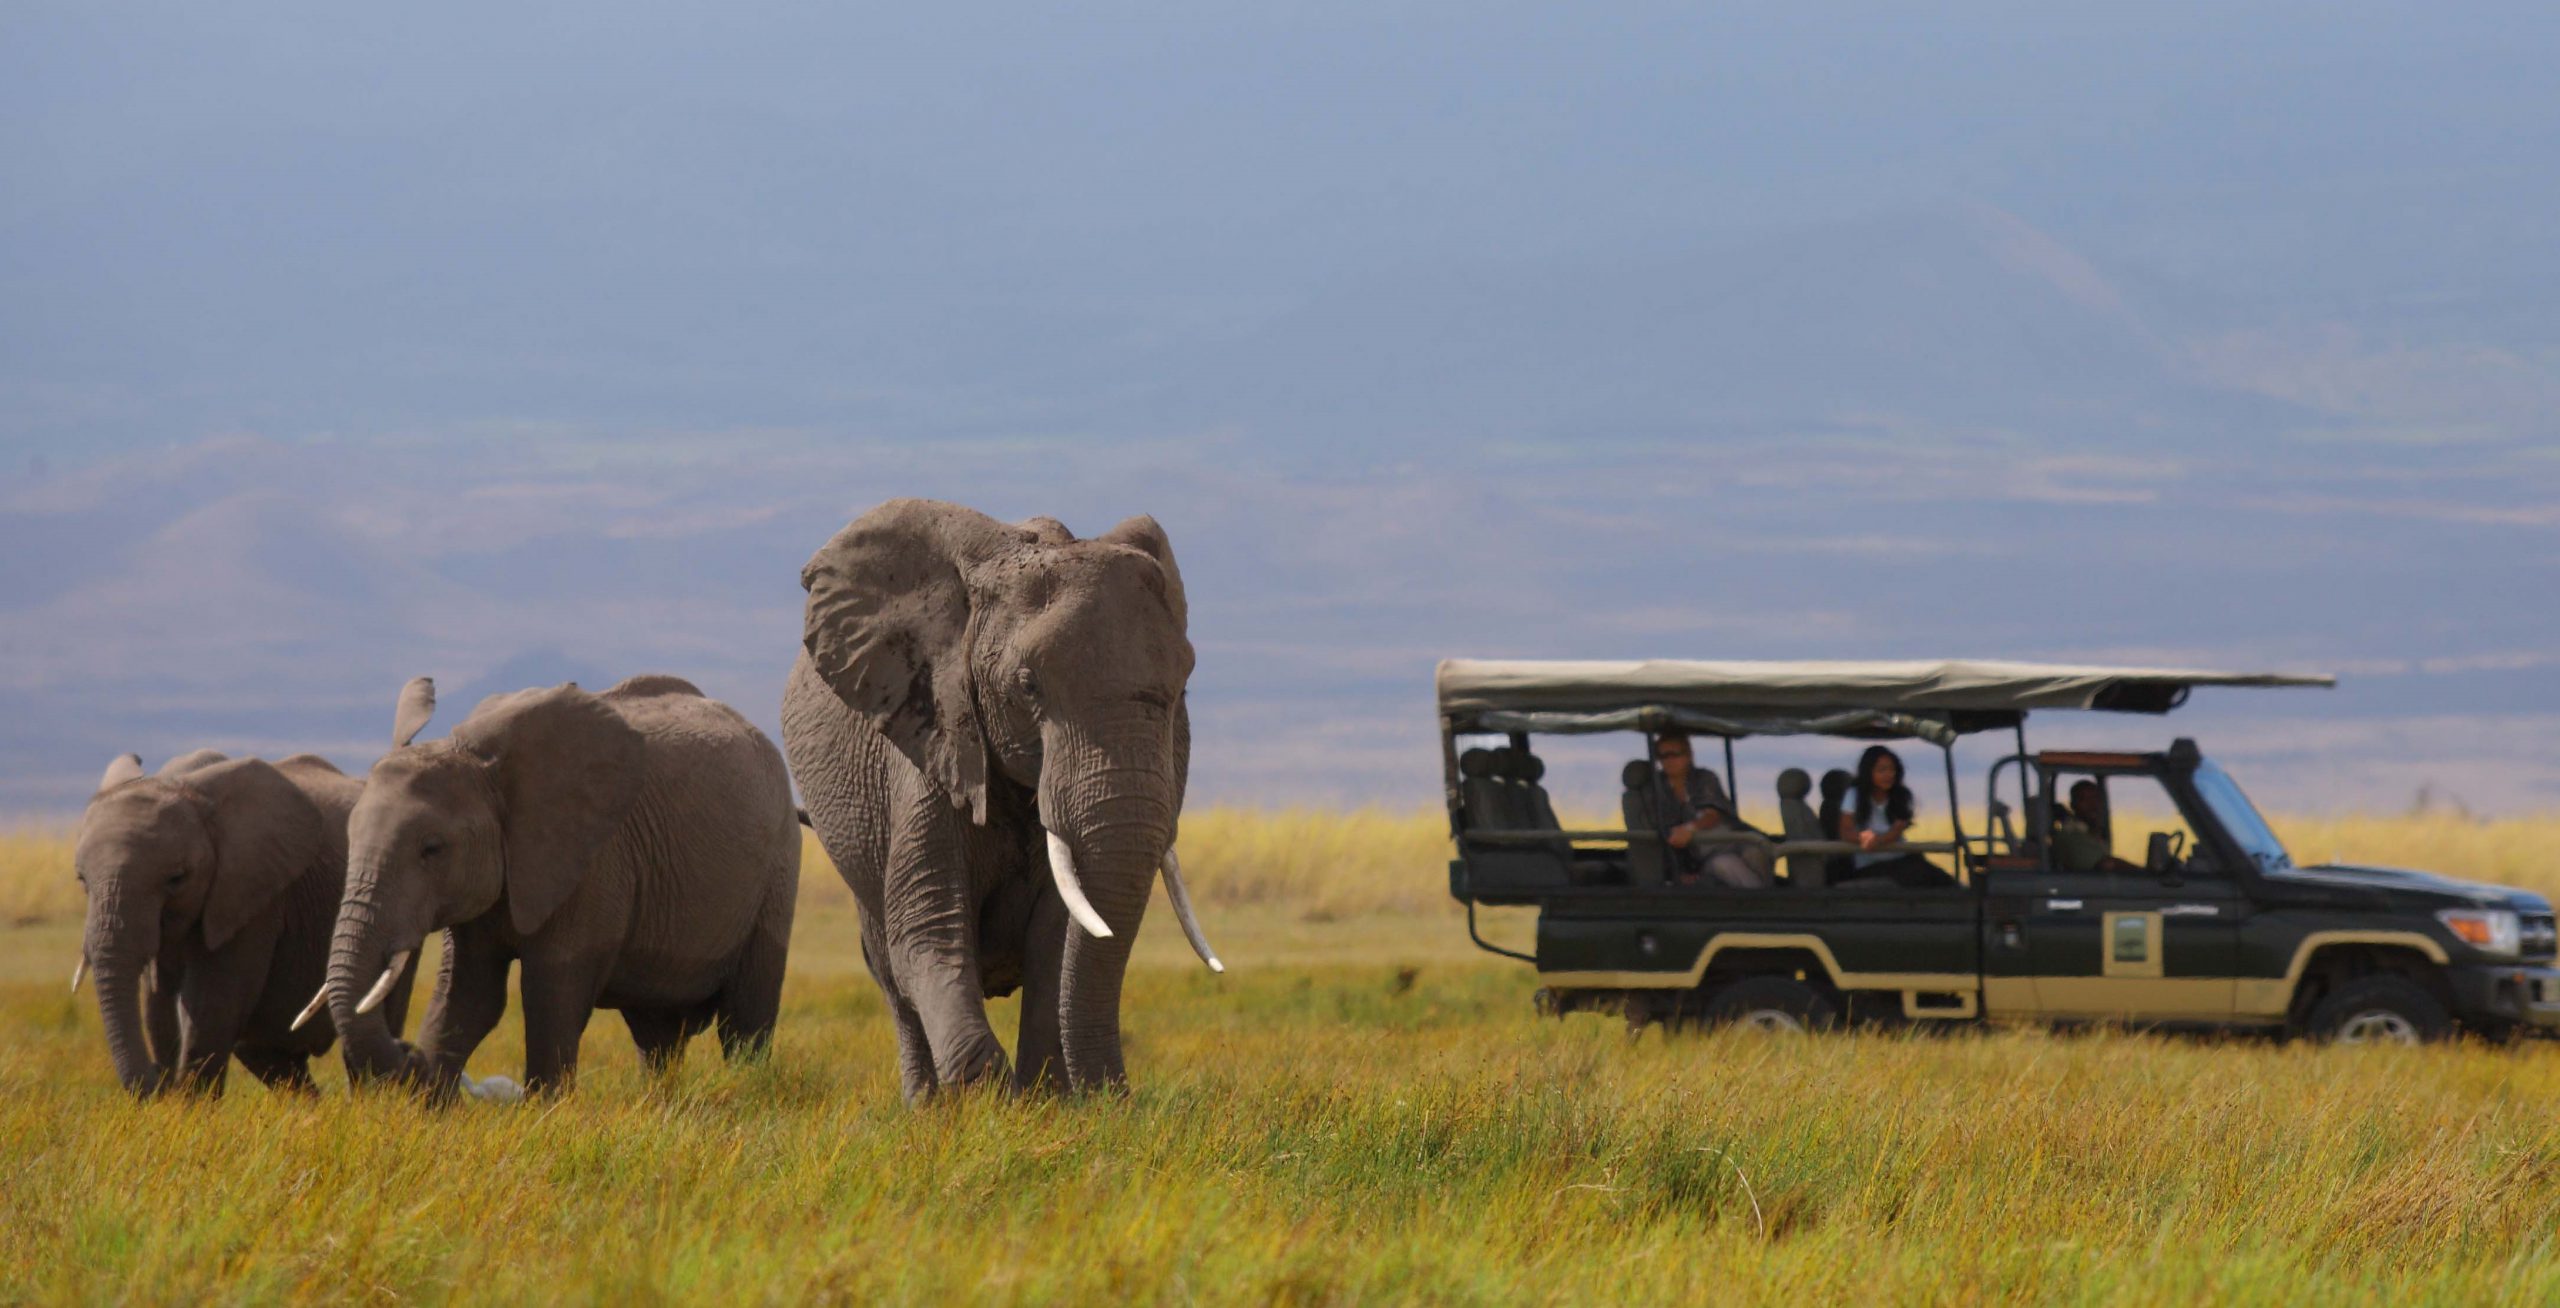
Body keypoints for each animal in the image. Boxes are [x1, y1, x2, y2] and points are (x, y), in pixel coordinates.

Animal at [72, 747, 414, 1095]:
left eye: (176, 879)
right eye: (82, 879)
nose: (158, 1077)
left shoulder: (251, 894)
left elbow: (210, 1007)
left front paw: (188, 1103)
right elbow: (158, 1009)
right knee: (268, 1055)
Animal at [320, 675, 798, 1095]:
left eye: (431, 849)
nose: (407, 1054)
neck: (483, 765)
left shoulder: (593, 863)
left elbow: (551, 993)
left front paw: (544, 1111)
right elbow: (468, 995)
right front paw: (432, 1110)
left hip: (776, 870)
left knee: (745, 1018)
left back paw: (746, 1090)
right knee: (657, 1033)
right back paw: (660, 1104)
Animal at [778, 501, 1218, 1105]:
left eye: (1183, 689)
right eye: (1028, 686)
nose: (1118, 1097)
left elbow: (1057, 941)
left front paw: (1044, 1104)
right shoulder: (930, 738)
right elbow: (928, 930)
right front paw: (984, 1098)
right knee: (891, 974)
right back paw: (924, 1107)